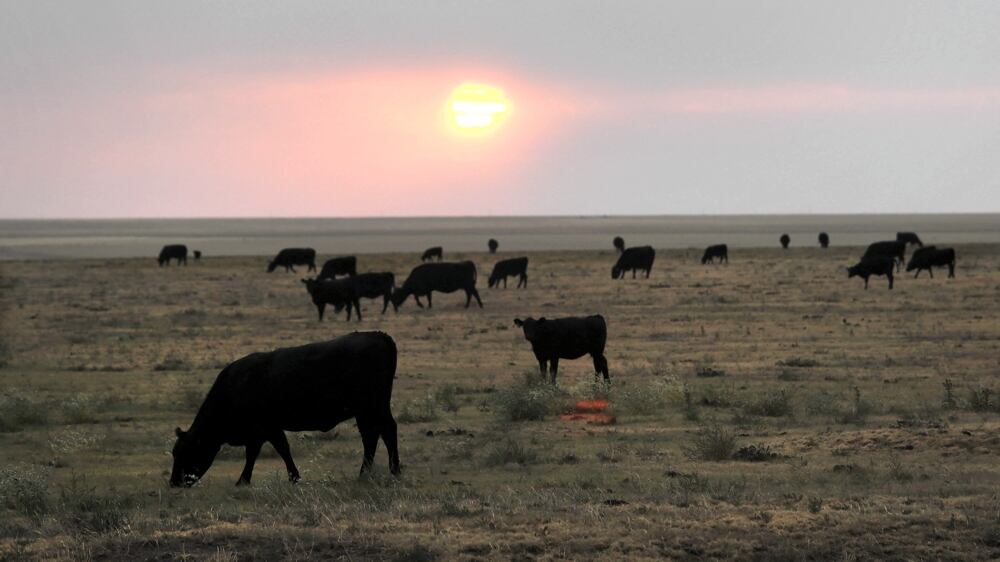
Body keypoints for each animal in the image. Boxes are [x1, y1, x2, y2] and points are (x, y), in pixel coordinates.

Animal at [169, 333, 400, 487]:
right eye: (174, 453)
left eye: (186, 452)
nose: (174, 482)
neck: (234, 386)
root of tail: (378, 336)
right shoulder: (265, 430)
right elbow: (269, 451)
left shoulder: (265, 428)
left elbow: (270, 451)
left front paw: (247, 480)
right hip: (366, 411)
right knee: (371, 436)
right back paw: (365, 474)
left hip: (374, 407)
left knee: (387, 431)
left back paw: (394, 470)